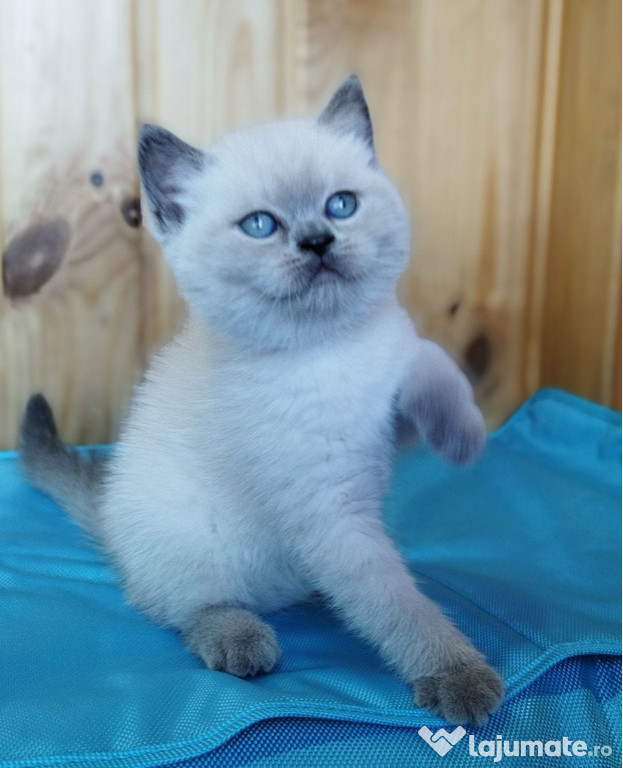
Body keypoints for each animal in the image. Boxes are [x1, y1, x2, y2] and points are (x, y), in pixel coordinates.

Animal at [22, 76, 504, 728]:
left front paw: (464, 436)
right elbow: (397, 605)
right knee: (183, 608)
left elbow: (428, 363)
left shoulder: (387, 418)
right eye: (259, 226)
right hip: (194, 547)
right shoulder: (332, 517)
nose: (318, 241)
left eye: (341, 205)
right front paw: (458, 676)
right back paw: (241, 640)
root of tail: (107, 509)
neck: (326, 349)